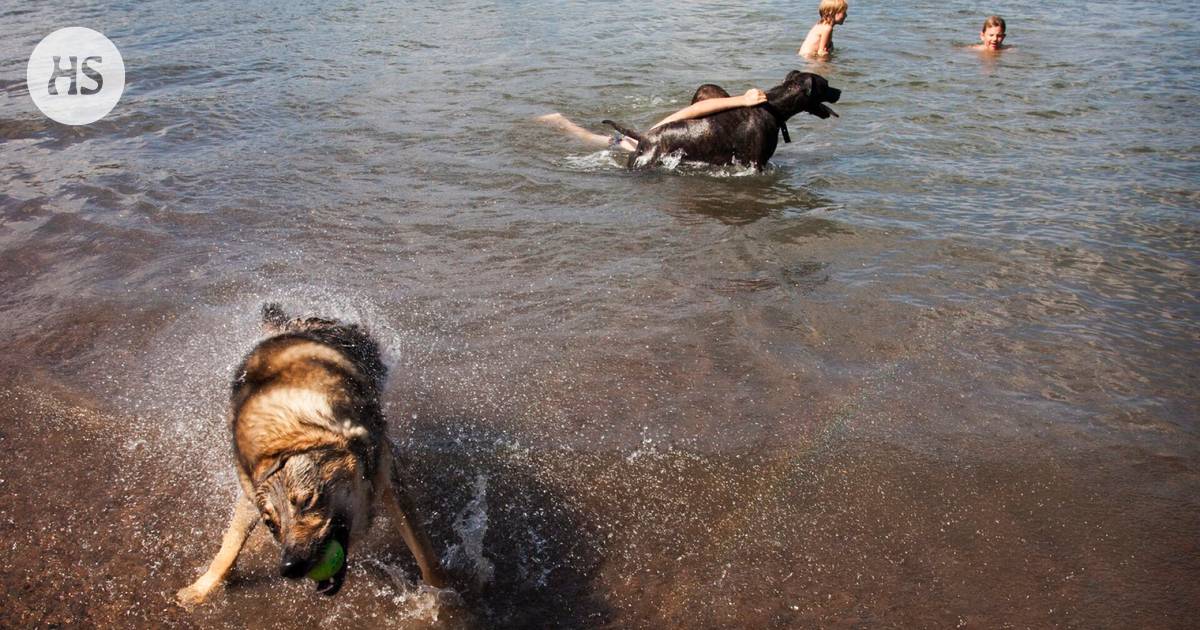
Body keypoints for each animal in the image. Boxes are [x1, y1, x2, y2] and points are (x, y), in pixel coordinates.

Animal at [175, 304, 444, 604]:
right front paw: (201, 588)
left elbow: (424, 552)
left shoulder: (386, 475)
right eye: (271, 524)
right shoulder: (249, 494)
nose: (290, 567)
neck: (287, 437)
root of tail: (296, 325)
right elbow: (230, 544)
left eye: (308, 502)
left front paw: (443, 593)